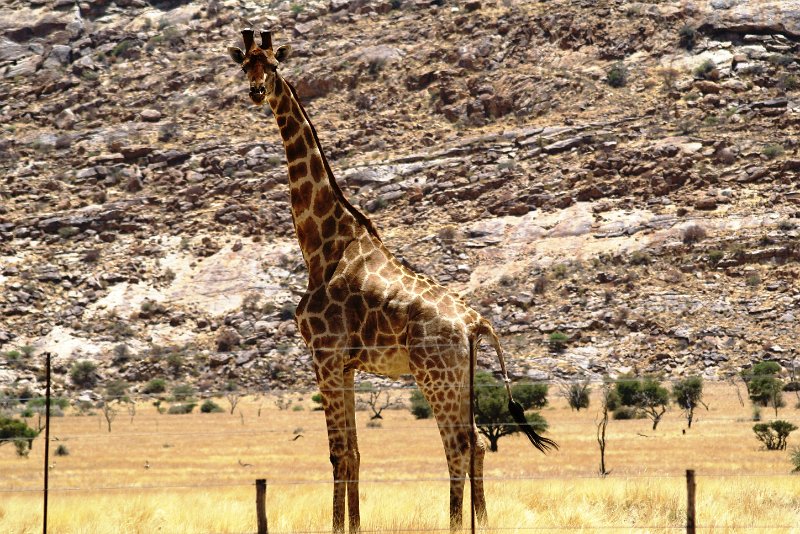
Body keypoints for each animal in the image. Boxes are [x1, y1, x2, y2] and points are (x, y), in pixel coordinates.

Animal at [228, 29, 557, 532]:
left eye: (274, 65)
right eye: (246, 64)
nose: (257, 91)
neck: (323, 245)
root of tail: (476, 323)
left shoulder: (324, 354)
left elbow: (337, 452)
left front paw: (339, 526)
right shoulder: (345, 364)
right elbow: (354, 452)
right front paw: (353, 525)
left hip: (435, 374)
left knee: (458, 445)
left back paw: (456, 523)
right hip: (461, 376)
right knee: (478, 443)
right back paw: (480, 521)